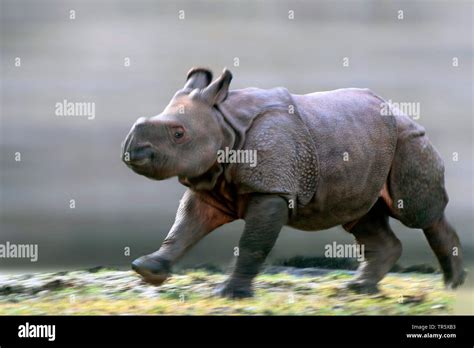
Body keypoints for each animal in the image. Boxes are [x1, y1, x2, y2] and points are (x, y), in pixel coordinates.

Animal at [120, 68, 464, 300]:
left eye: (179, 134)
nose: (132, 151)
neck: (224, 122)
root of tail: (401, 112)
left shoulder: (272, 189)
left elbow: (252, 243)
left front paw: (228, 294)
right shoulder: (211, 184)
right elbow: (183, 228)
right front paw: (147, 270)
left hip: (408, 139)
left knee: (417, 213)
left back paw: (453, 286)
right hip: (363, 144)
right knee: (361, 216)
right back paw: (358, 288)